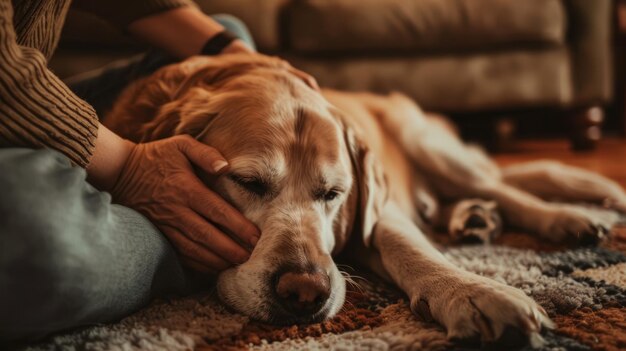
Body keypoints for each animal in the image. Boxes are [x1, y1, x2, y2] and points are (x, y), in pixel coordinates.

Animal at [103, 54, 624, 346]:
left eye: (334, 194)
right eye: (248, 183)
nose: (305, 292)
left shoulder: (377, 210)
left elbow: (410, 248)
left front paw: (474, 292)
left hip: (427, 144)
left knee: (504, 186)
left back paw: (567, 217)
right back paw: (474, 218)